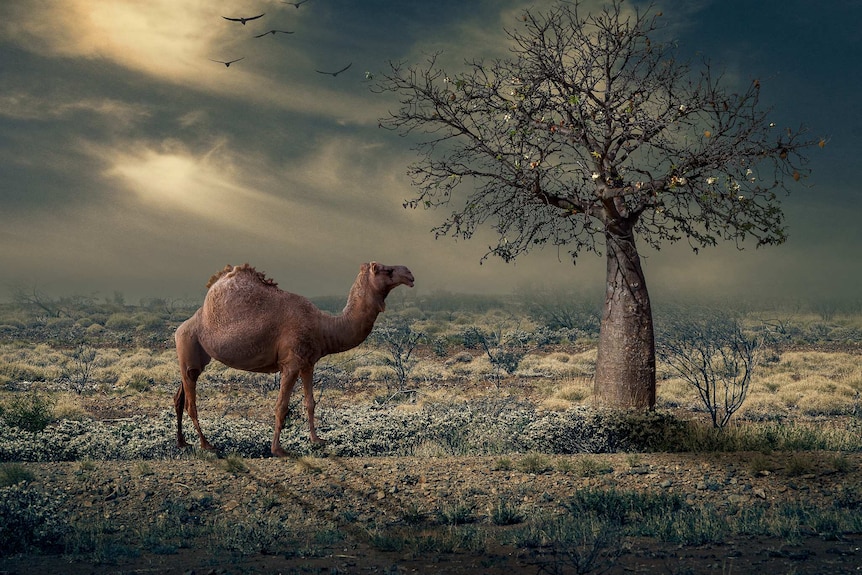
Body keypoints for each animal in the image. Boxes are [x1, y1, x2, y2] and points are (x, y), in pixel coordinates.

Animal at [175, 262, 416, 460]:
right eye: (386, 270)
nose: (410, 274)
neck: (324, 327)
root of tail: (183, 325)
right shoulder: (290, 364)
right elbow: (281, 406)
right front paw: (278, 450)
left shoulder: (308, 363)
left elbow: (310, 403)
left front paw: (317, 440)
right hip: (189, 344)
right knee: (190, 402)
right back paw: (206, 445)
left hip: (195, 356)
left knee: (179, 397)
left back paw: (182, 443)